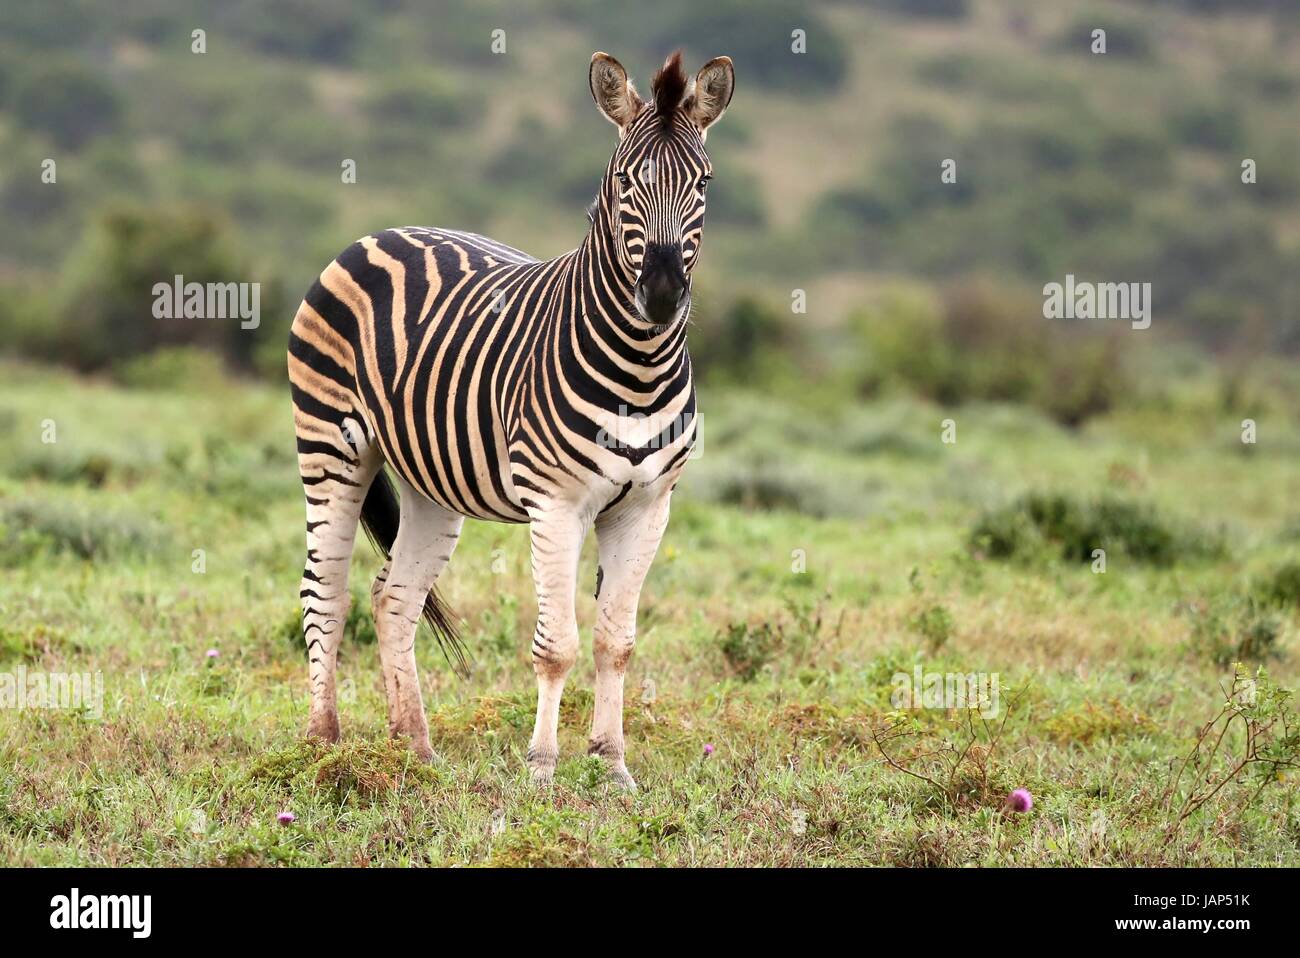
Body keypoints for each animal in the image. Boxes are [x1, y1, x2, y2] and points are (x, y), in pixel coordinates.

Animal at [287, 51, 734, 790]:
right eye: (623, 181)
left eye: (701, 183)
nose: (665, 292)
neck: (638, 368)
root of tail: (381, 232)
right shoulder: (556, 503)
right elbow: (557, 646)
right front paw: (542, 771)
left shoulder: (649, 507)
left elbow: (615, 642)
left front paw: (613, 768)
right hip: (330, 448)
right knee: (326, 592)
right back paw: (323, 746)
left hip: (429, 481)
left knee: (392, 597)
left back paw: (417, 749)